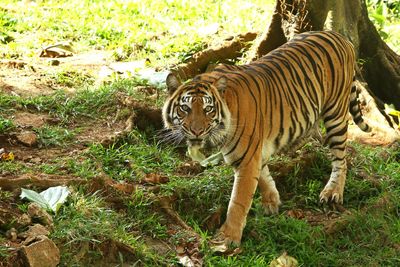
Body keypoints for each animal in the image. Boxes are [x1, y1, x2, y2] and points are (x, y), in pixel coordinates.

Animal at [162, 31, 372, 251]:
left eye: (208, 109)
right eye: (185, 108)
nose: (197, 131)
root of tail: (338, 36)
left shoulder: (247, 159)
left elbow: (238, 200)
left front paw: (227, 238)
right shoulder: (254, 151)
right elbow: (263, 175)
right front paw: (272, 201)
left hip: (335, 114)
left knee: (341, 159)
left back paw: (333, 192)